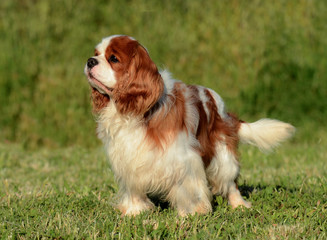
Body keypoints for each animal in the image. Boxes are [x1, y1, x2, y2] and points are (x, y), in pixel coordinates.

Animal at [83, 34, 296, 217]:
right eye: (96, 53)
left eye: (113, 58)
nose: (90, 61)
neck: (138, 112)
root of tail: (226, 112)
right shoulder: (128, 158)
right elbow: (133, 186)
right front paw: (135, 210)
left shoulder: (184, 158)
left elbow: (189, 186)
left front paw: (193, 212)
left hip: (221, 154)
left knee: (231, 183)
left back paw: (239, 205)